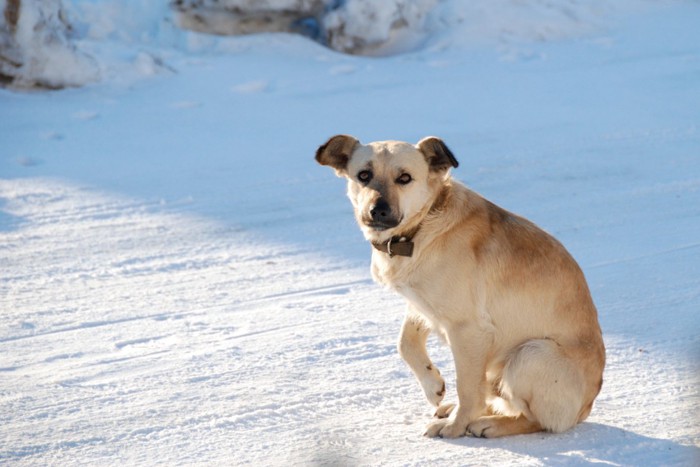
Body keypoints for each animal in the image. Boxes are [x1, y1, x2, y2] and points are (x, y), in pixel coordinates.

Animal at [318, 134, 608, 438]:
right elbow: (405, 343)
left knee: (535, 419)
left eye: (405, 178)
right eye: (364, 175)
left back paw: (490, 424)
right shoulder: (422, 306)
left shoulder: (469, 330)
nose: (378, 211)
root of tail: (585, 408)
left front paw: (455, 427)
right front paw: (433, 386)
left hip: (530, 354)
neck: (420, 229)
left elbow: (466, 388)